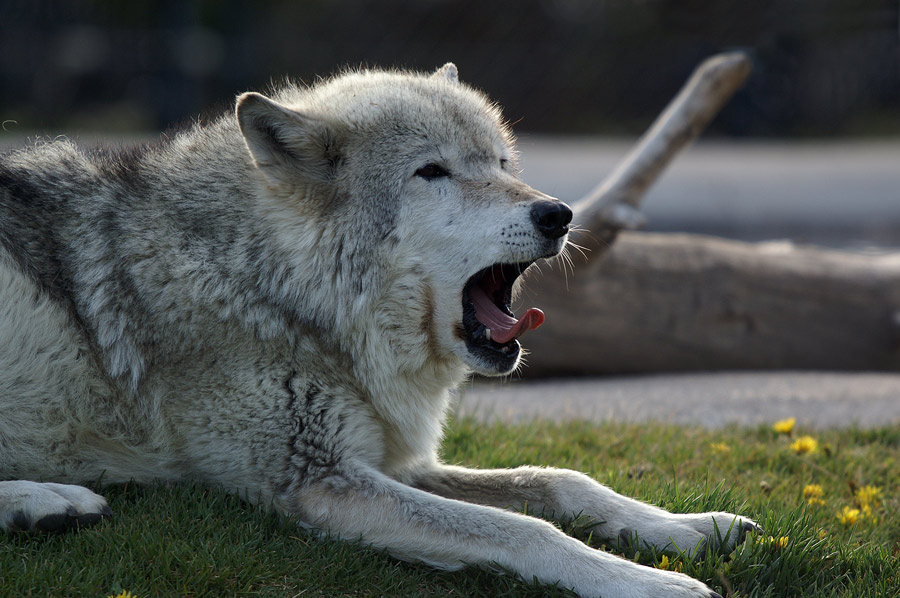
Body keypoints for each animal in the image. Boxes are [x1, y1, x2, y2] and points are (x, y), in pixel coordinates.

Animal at [1, 63, 760, 596]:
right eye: (433, 172)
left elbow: (559, 482)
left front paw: (690, 528)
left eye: (502, 164)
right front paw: (651, 583)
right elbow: (523, 528)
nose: (559, 214)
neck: (276, 286)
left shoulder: (389, 459)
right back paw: (48, 500)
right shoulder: (317, 479)